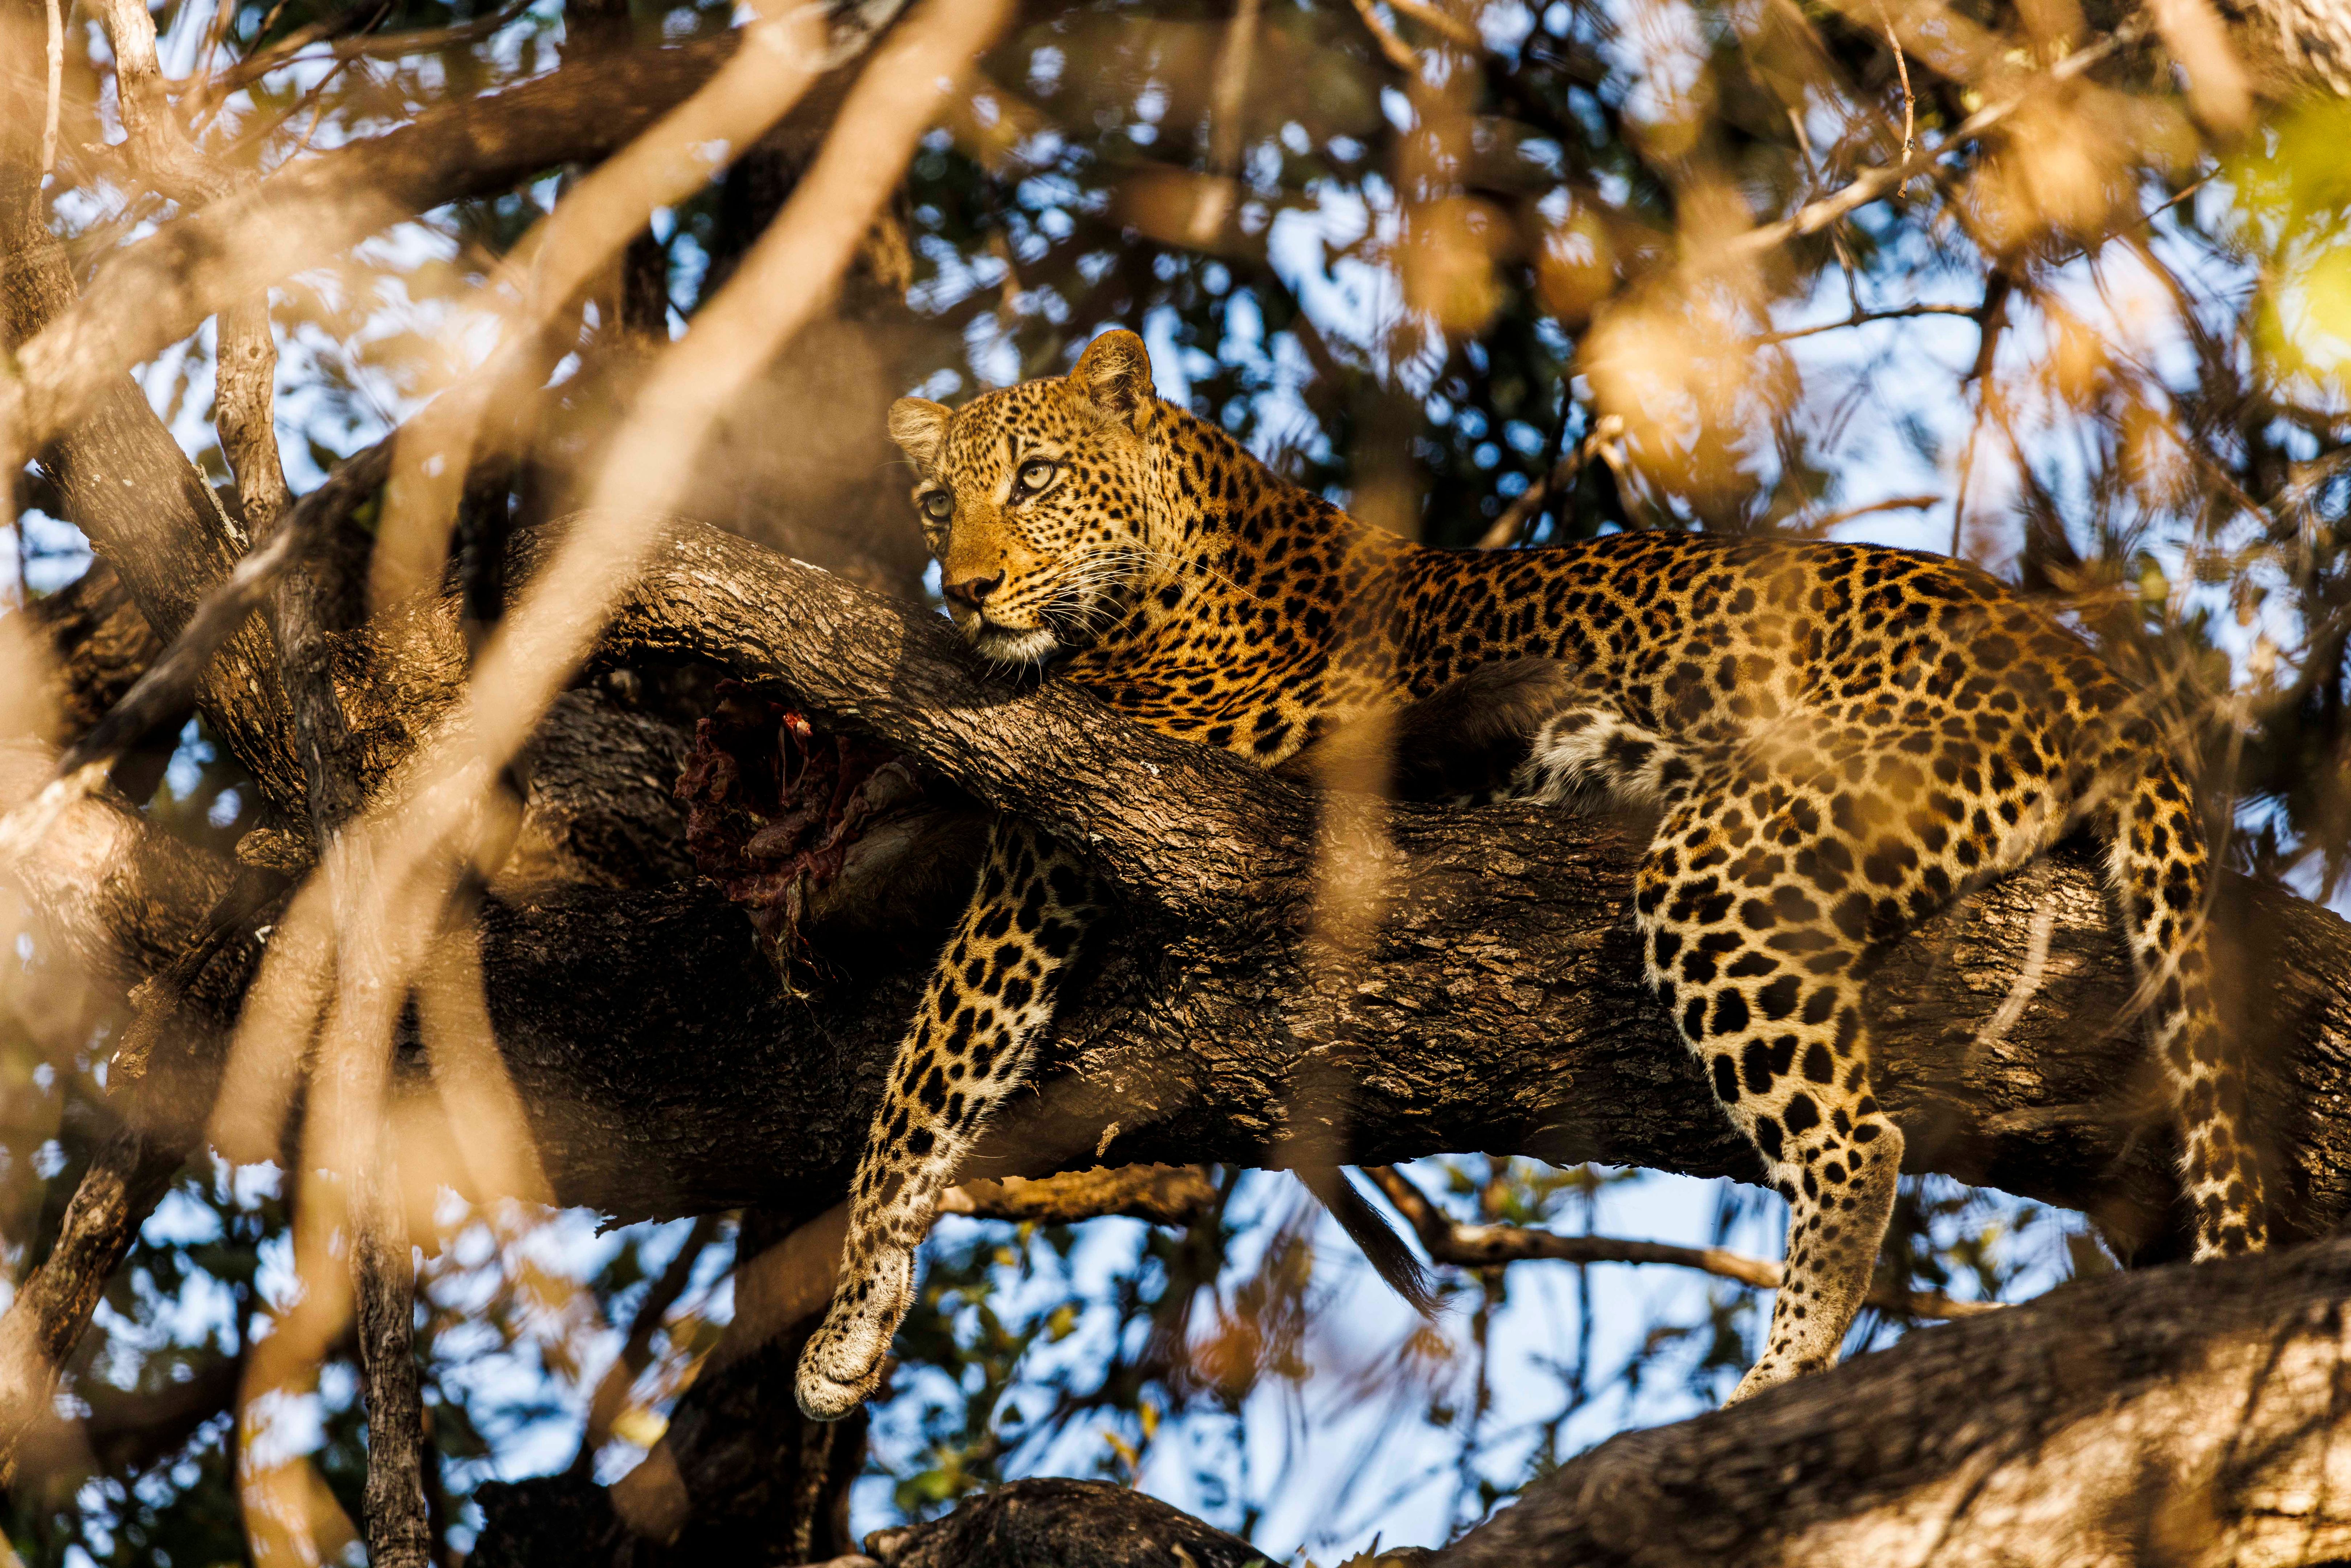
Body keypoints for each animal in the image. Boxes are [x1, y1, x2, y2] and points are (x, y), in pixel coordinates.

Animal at [793, 328, 2268, 1420]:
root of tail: (2088, 668)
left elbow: (919, 1084)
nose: (964, 589)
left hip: (1727, 856)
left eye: (1035, 477)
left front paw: (839, 1327)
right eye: (939, 501)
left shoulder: (1054, 839)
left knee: (1858, 1142)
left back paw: (1777, 1372)